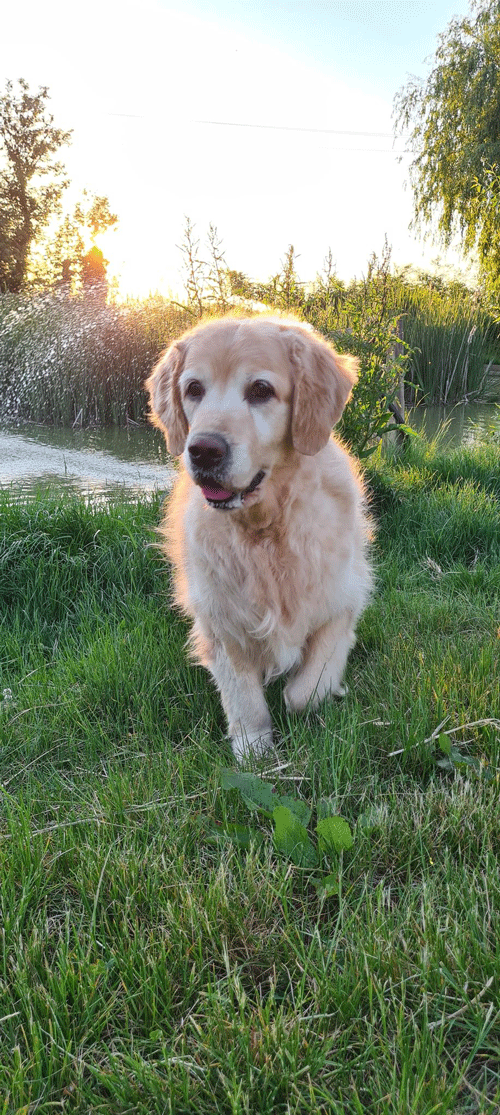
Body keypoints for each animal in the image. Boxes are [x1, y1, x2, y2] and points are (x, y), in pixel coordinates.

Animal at [145, 318, 370, 762]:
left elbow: (305, 691)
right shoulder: (221, 620)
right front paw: (253, 746)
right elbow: (243, 696)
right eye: (193, 388)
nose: (203, 450)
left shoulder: (342, 601)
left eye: (261, 390)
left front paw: (310, 691)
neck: (266, 531)